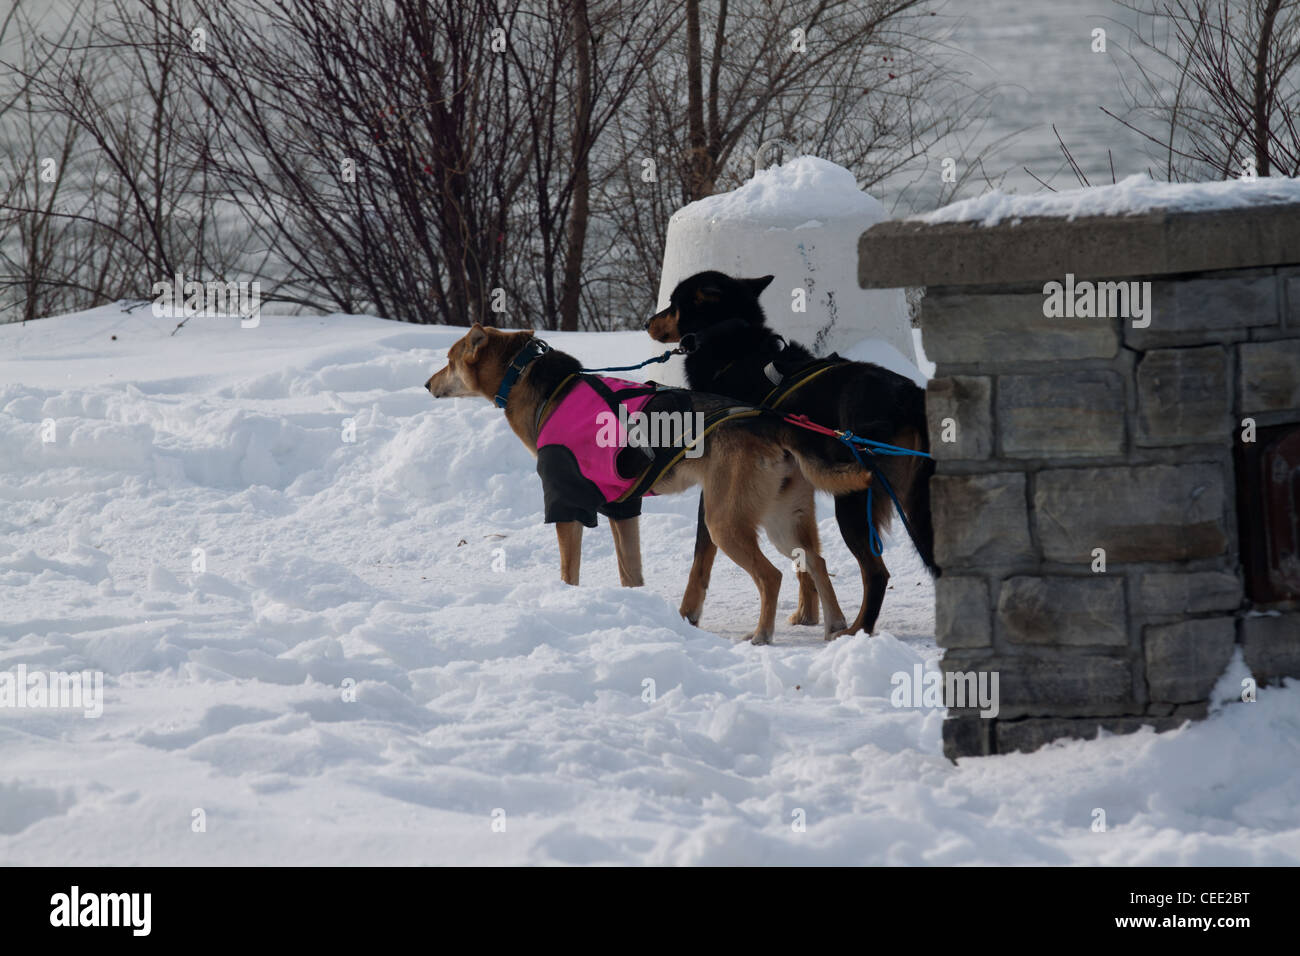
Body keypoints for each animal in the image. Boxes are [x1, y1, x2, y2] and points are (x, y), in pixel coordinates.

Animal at [426, 325, 883, 647]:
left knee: (771, 577)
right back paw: (836, 625)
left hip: (724, 523)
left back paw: (761, 635)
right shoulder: (623, 510)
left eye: (449, 360)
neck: (541, 386)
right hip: (780, 522)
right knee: (817, 563)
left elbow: (568, 571)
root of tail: (772, 425)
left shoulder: (567, 505)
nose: (427, 384)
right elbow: (631, 572)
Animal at [647, 273, 935, 639]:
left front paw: (688, 613)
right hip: (915, 502)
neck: (734, 350)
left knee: (877, 573)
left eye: (673, 303)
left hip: (854, 504)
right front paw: (808, 612)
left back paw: (856, 630)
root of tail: (908, 394)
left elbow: (701, 557)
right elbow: (805, 556)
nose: (647, 322)